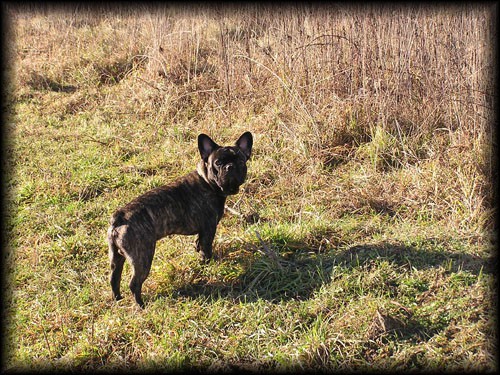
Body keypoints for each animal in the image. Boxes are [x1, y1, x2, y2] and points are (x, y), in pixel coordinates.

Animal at [107, 132, 252, 308]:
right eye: (218, 163)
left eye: (240, 161)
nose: (230, 167)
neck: (207, 182)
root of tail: (119, 218)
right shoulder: (209, 228)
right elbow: (206, 250)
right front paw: (208, 264)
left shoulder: (202, 232)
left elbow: (199, 244)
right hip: (143, 257)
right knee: (134, 283)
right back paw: (141, 306)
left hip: (116, 257)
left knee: (114, 278)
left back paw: (118, 298)